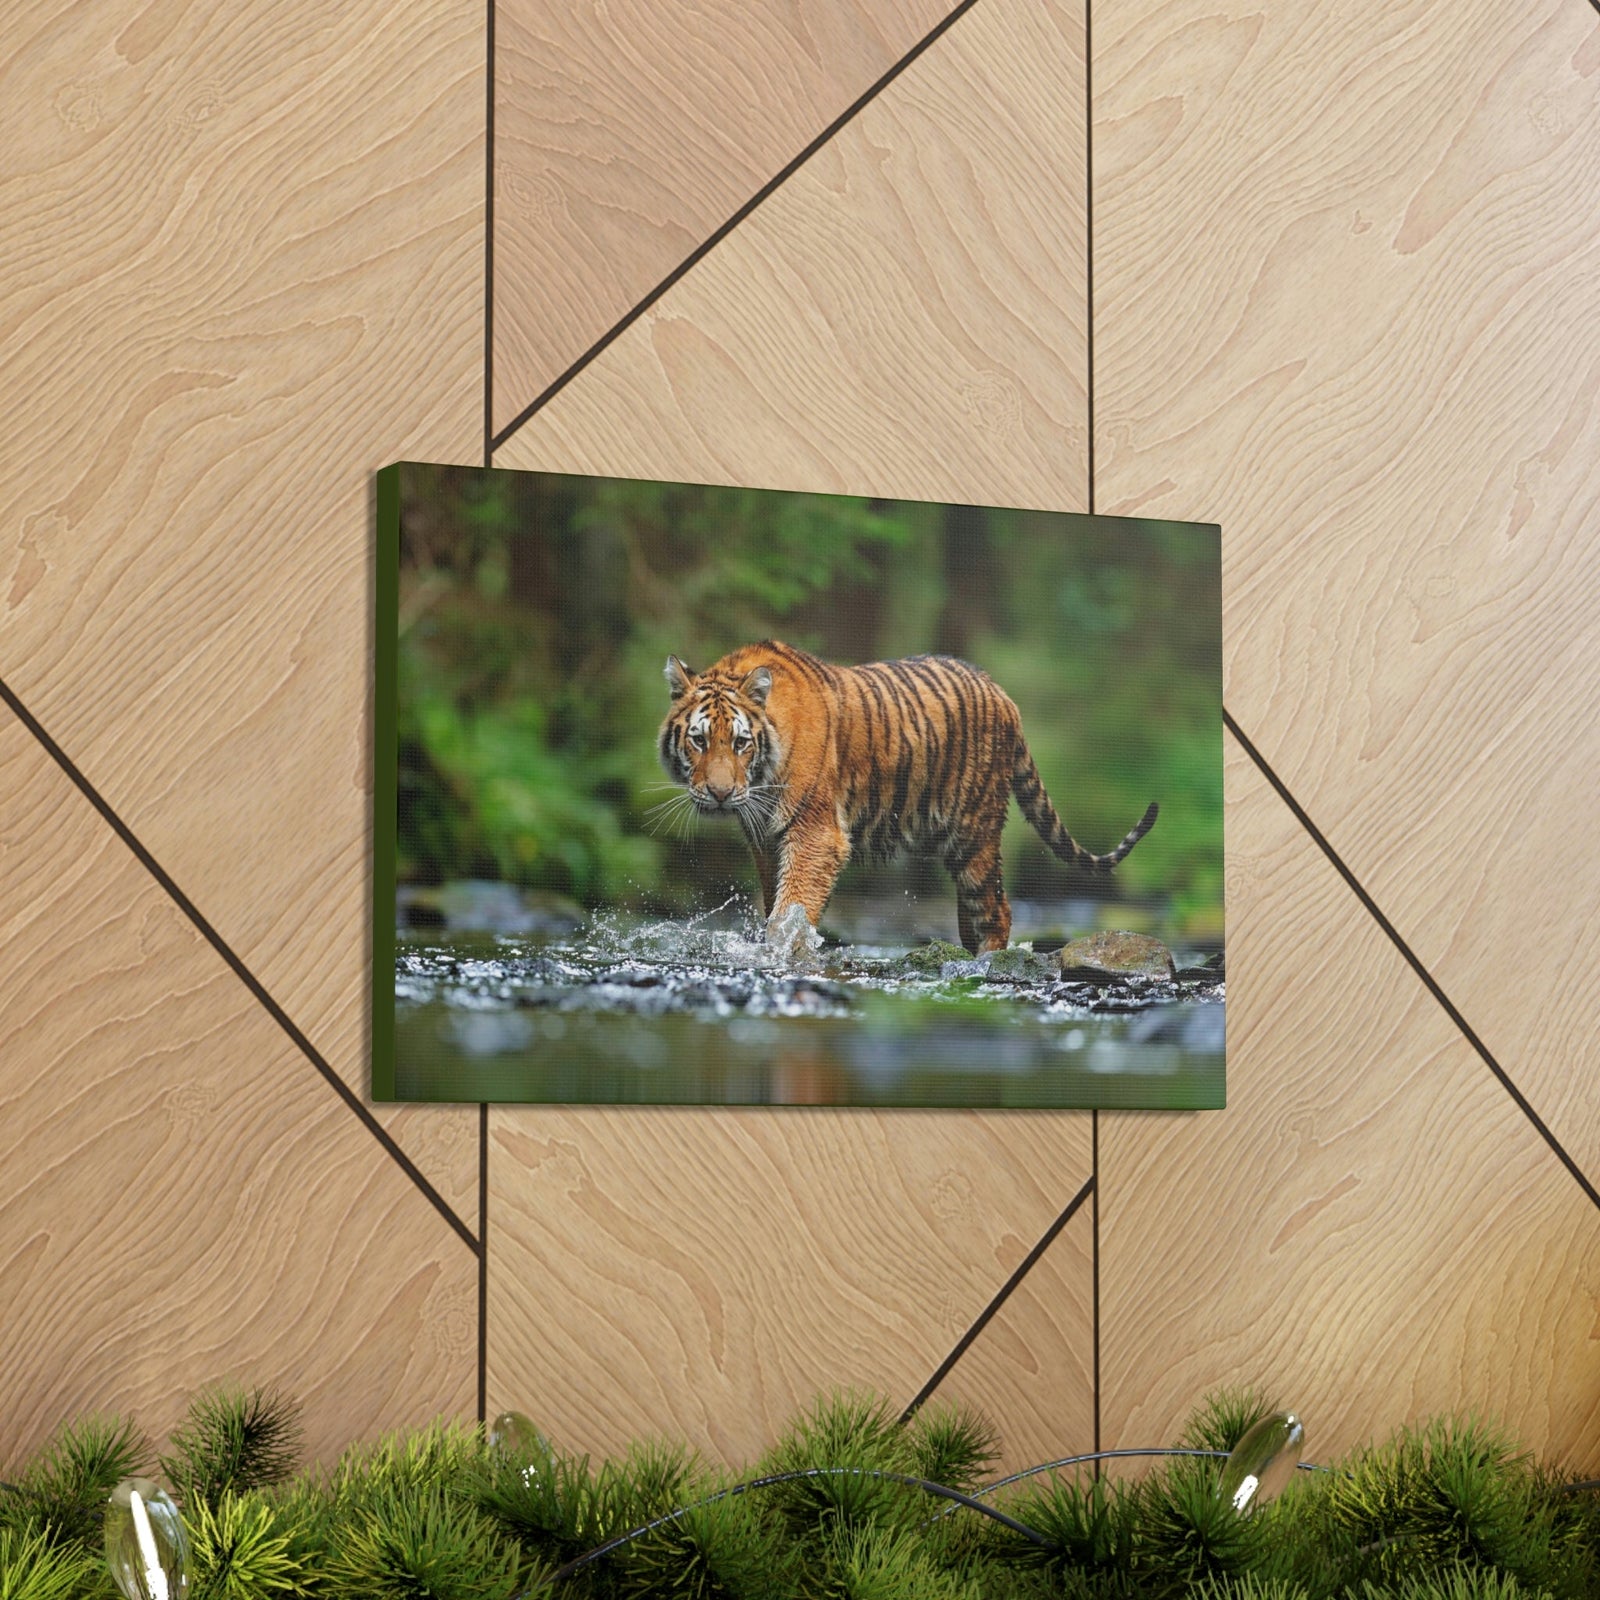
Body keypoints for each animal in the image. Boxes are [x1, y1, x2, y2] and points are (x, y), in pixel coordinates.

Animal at [656, 640, 1158, 955]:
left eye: (741, 743)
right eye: (699, 740)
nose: (721, 793)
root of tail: (1002, 693)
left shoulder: (816, 833)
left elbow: (791, 907)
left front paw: (783, 950)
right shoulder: (765, 840)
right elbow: (773, 901)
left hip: (974, 834)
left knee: (997, 909)